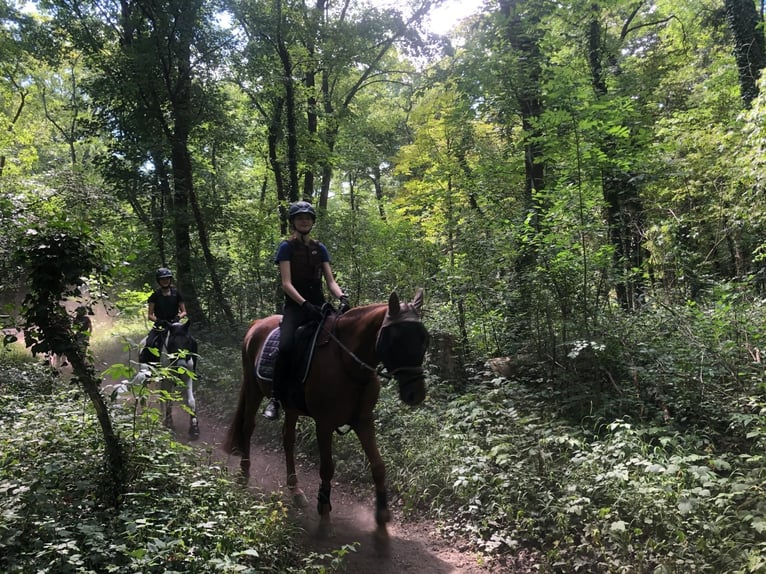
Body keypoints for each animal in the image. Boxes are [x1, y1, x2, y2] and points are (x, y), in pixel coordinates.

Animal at [224, 290, 432, 536]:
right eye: (396, 339)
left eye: (424, 339)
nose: (415, 394)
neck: (348, 363)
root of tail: (256, 324)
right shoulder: (324, 424)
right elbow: (327, 469)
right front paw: (324, 516)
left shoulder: (364, 421)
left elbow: (379, 466)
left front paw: (382, 517)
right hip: (253, 389)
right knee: (248, 427)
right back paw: (243, 476)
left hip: (291, 406)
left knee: (288, 439)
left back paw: (295, 491)